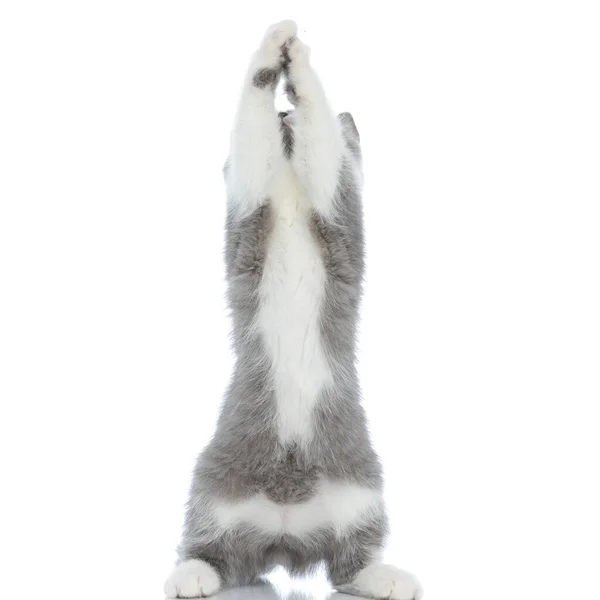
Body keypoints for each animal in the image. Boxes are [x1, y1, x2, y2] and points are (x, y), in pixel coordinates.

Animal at [164, 19, 422, 600]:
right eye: (280, 116)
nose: (285, 114)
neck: (288, 199)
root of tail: (284, 536)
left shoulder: (336, 203)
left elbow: (323, 145)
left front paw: (296, 62)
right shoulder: (250, 195)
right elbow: (251, 138)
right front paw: (273, 50)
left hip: (361, 485)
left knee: (350, 561)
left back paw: (385, 575)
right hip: (215, 484)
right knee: (212, 550)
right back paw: (191, 574)